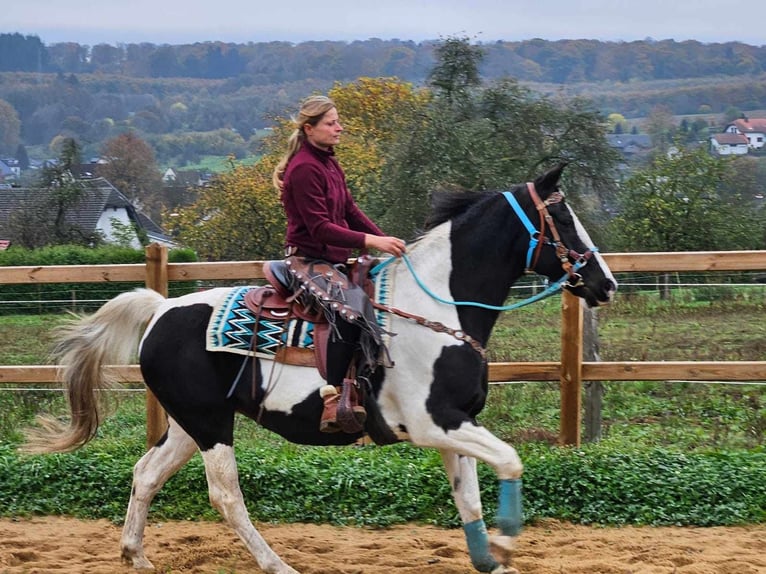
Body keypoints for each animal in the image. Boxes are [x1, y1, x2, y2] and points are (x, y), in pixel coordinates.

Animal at [24, 164, 616, 572]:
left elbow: (468, 497)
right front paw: (507, 541)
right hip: (211, 425)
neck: (438, 309)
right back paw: (276, 564)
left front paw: (489, 556)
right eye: (564, 218)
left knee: (146, 473)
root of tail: (161, 309)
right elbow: (511, 460)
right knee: (225, 495)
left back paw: (136, 554)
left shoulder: (456, 425)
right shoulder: (434, 423)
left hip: (188, 424)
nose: (605, 283)